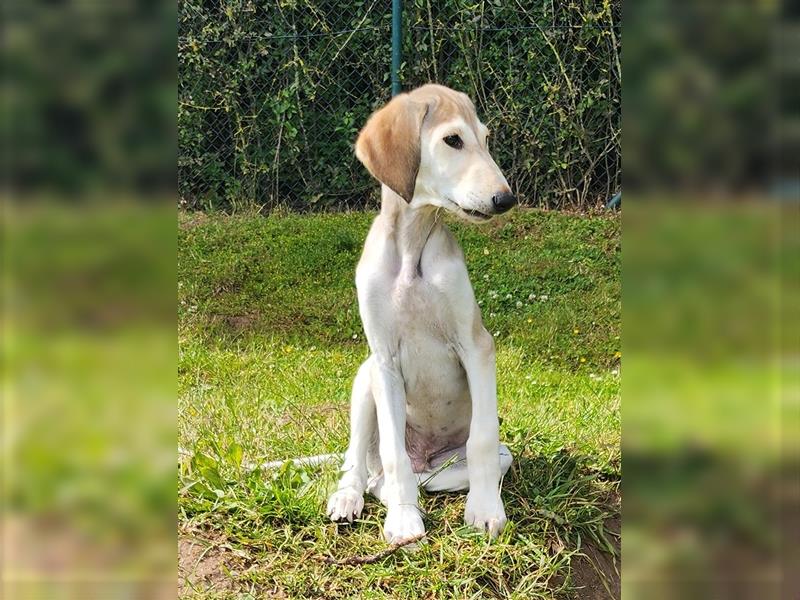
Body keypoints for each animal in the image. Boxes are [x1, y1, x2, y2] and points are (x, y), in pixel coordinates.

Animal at [328, 83, 516, 544]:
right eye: (453, 140)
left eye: (486, 140)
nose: (506, 199)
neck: (411, 250)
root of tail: (425, 458)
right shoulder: (384, 360)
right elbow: (394, 453)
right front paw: (402, 519)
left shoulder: (476, 346)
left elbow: (482, 440)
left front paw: (485, 511)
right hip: (365, 379)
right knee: (367, 465)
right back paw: (350, 496)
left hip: (485, 456)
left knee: (425, 476)